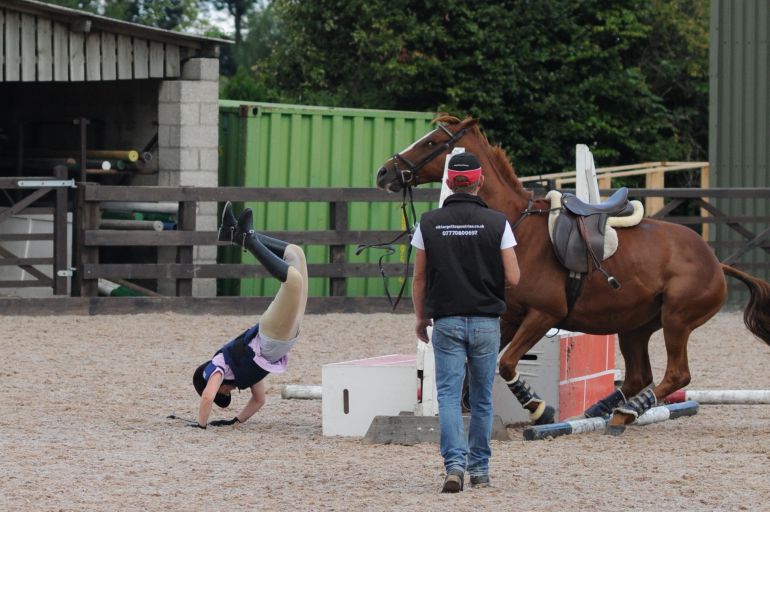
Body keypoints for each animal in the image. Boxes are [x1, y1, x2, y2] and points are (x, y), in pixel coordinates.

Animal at [375, 115, 770, 434]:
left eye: (431, 142)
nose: (384, 172)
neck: (517, 228)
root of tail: (716, 262)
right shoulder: (510, 317)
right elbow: (482, 365)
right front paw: (469, 406)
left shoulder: (543, 314)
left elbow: (506, 363)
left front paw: (538, 409)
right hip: (635, 326)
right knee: (640, 375)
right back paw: (603, 408)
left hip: (676, 320)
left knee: (676, 373)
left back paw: (625, 412)